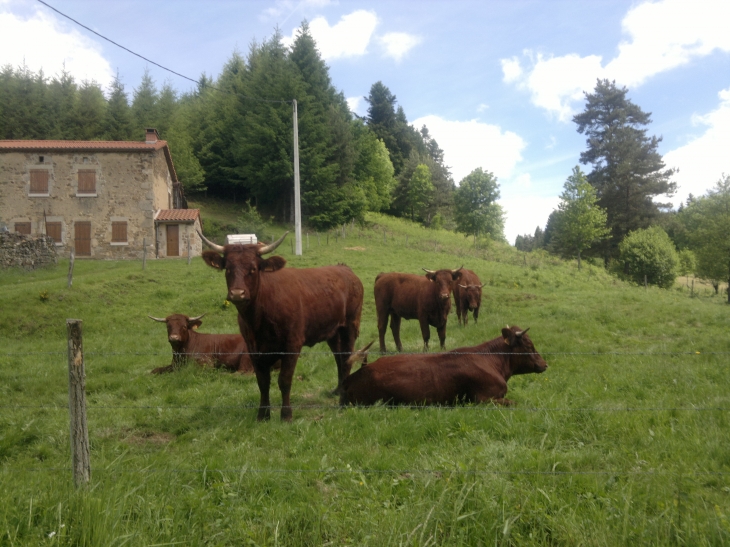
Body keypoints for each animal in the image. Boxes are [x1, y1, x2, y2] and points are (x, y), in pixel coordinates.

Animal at [199, 233, 362, 422]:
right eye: (228, 268)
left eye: (253, 269)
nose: (237, 293)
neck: (258, 319)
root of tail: (345, 269)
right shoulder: (253, 348)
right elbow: (262, 382)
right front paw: (263, 414)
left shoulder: (292, 344)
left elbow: (284, 380)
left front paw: (286, 415)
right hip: (333, 332)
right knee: (339, 357)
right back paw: (337, 390)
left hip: (350, 326)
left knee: (347, 358)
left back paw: (343, 401)